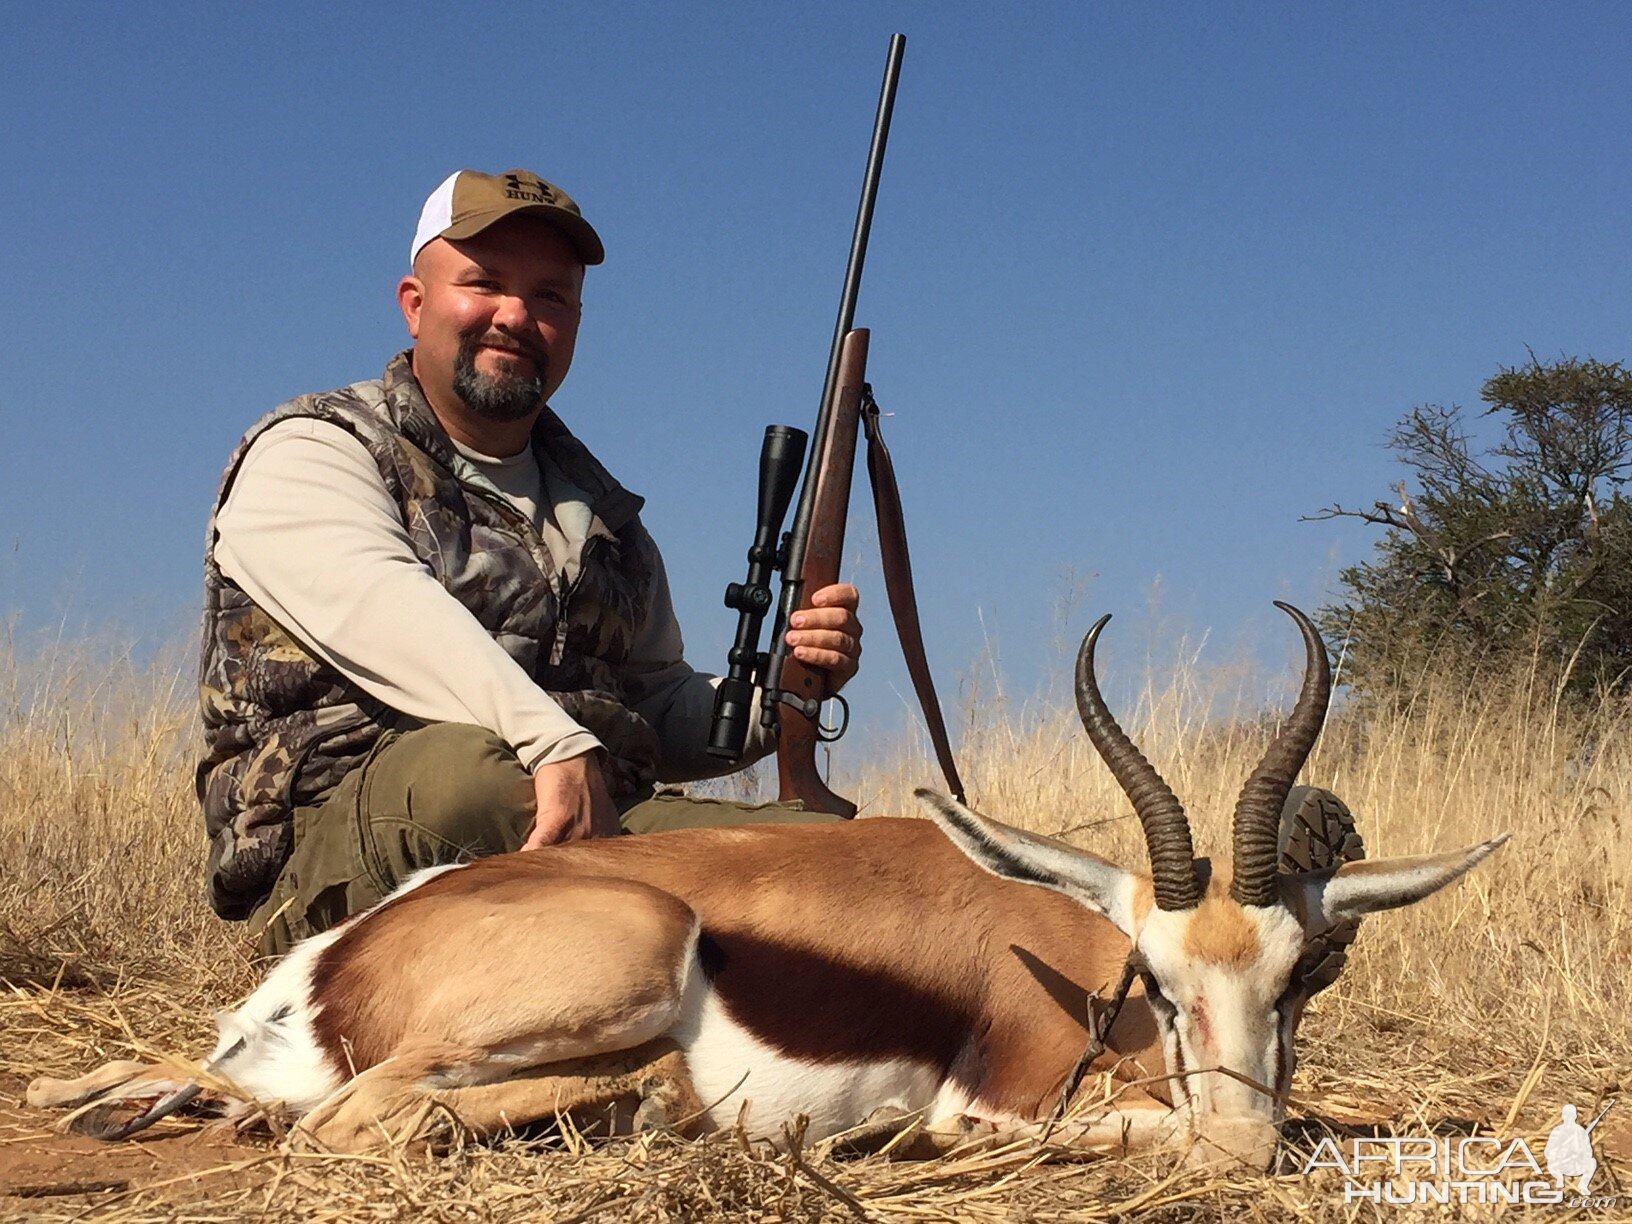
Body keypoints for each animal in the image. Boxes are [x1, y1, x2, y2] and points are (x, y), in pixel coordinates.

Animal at [28, 603, 1501, 1168]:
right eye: (1154, 976)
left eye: (1304, 976)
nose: (1247, 1143)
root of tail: (338, 958)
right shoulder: (1009, 1097)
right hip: (619, 970)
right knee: (359, 1120)